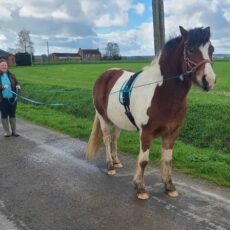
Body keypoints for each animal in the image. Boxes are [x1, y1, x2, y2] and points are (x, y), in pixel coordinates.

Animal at [86, 26, 216, 199]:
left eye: (211, 49)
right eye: (191, 49)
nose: (209, 80)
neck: (162, 92)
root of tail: (105, 74)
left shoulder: (172, 133)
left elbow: (168, 160)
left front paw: (169, 187)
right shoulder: (146, 132)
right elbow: (143, 160)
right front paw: (140, 188)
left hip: (119, 120)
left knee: (114, 138)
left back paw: (116, 161)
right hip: (103, 117)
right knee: (107, 139)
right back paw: (110, 166)